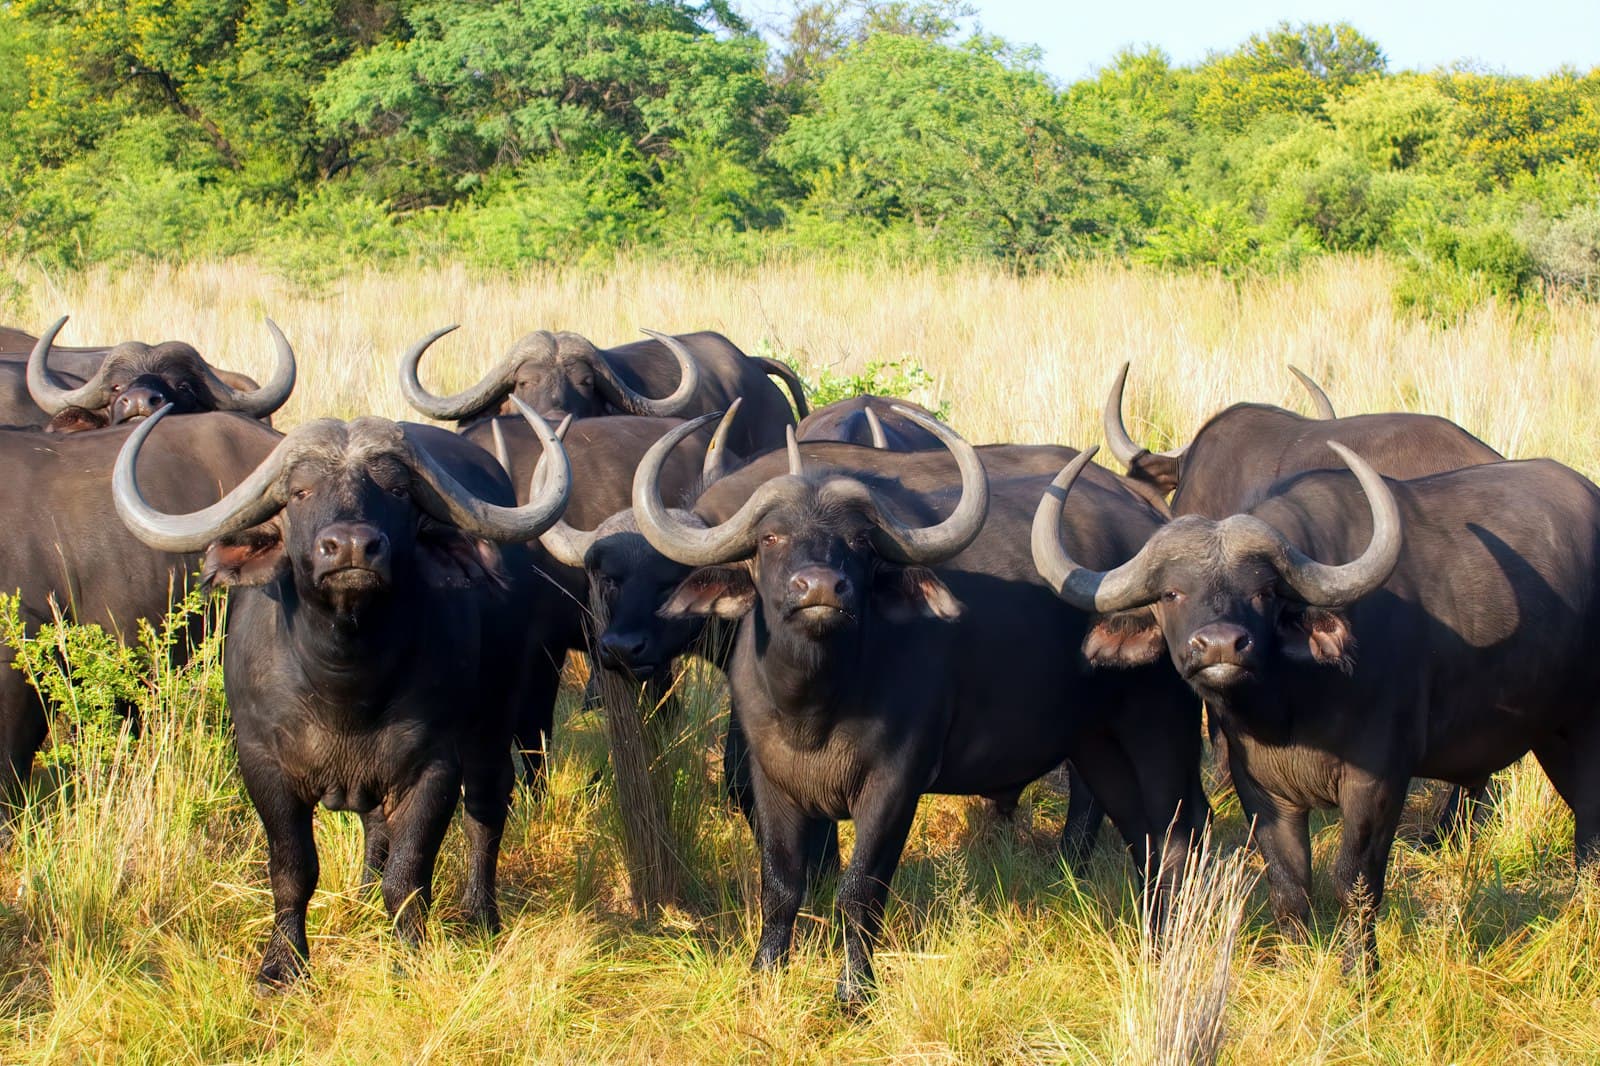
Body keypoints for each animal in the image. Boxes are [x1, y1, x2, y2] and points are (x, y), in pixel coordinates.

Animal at [112, 400, 572, 986]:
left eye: (397, 490)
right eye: (300, 492)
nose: (352, 547)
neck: (346, 688)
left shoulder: (433, 768)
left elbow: (410, 874)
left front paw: (407, 957)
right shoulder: (262, 764)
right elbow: (293, 869)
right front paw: (282, 965)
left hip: (497, 717)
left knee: (486, 809)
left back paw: (480, 915)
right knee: (376, 828)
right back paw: (364, 897)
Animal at [1034, 445, 1600, 972]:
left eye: (1264, 592)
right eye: (1171, 592)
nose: (1220, 646)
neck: (1291, 709)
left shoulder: (1378, 783)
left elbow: (1355, 882)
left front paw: (1361, 973)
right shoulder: (1261, 787)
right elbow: (1288, 882)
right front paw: (1294, 961)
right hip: (1553, 737)